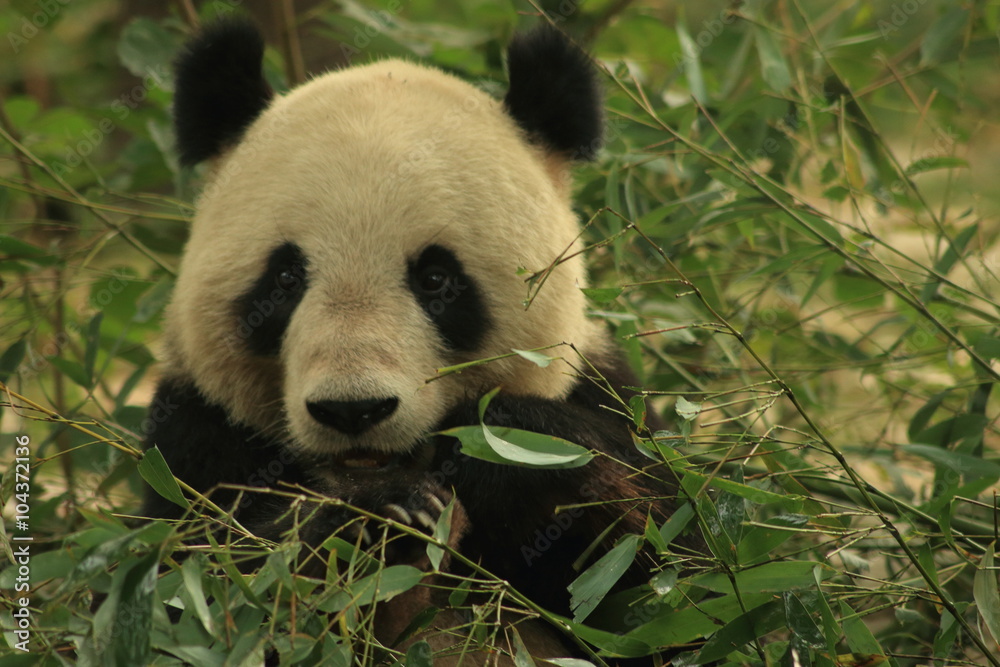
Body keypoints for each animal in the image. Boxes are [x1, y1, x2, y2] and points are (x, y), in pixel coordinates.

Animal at [142, 17, 687, 662]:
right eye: (285, 278)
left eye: (435, 279)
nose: (353, 410)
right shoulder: (193, 439)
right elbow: (199, 590)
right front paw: (387, 516)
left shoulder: (605, 396)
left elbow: (663, 577)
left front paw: (503, 446)